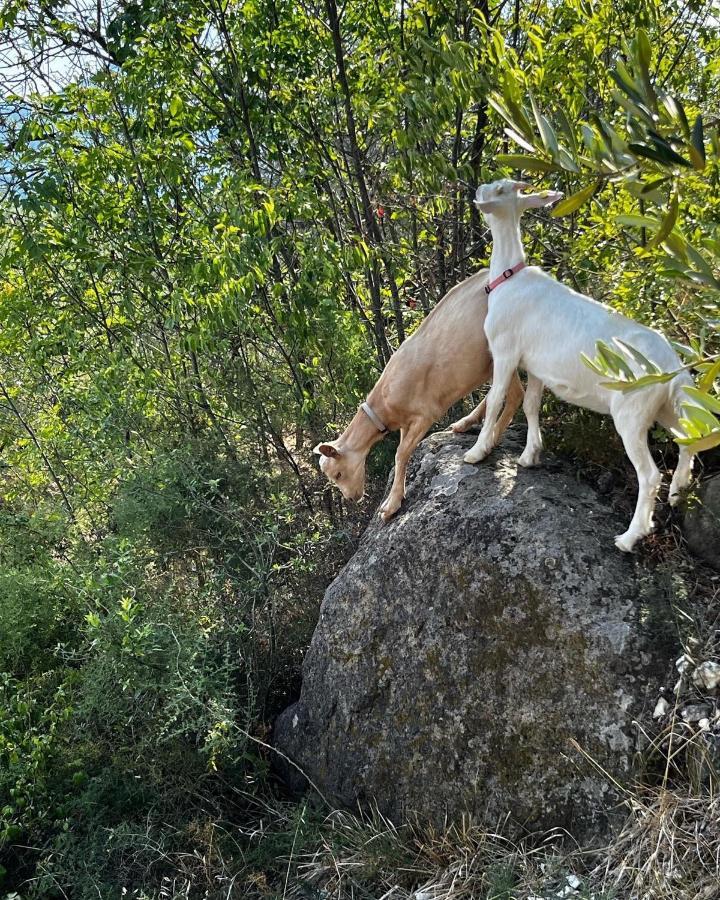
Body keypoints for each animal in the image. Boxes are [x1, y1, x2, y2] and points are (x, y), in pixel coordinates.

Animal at [464, 179, 696, 552]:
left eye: (499, 189)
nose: (480, 188)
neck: (509, 278)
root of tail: (672, 365)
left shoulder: (505, 351)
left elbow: (495, 400)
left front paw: (476, 452)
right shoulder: (536, 366)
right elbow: (531, 405)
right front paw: (529, 456)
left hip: (631, 413)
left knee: (649, 474)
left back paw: (629, 537)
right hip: (663, 407)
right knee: (687, 437)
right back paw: (678, 492)